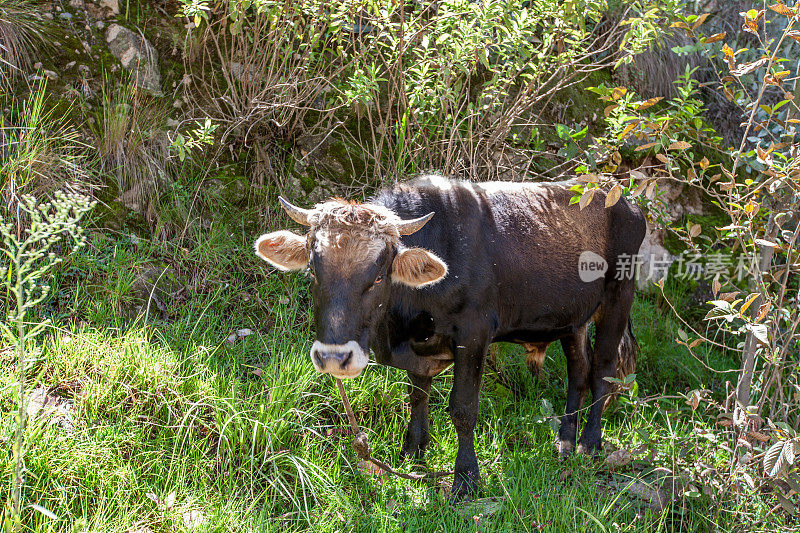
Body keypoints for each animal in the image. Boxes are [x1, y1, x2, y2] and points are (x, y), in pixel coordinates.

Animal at [255, 175, 644, 498]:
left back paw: (589, 443)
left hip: (618, 296)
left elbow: (463, 408)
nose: (334, 358)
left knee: (603, 370)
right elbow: (417, 396)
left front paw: (466, 479)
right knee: (578, 370)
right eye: (312, 270)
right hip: (573, 320)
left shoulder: (474, 333)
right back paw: (564, 440)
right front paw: (412, 453)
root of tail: (620, 196)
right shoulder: (418, 350)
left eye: (379, 276)